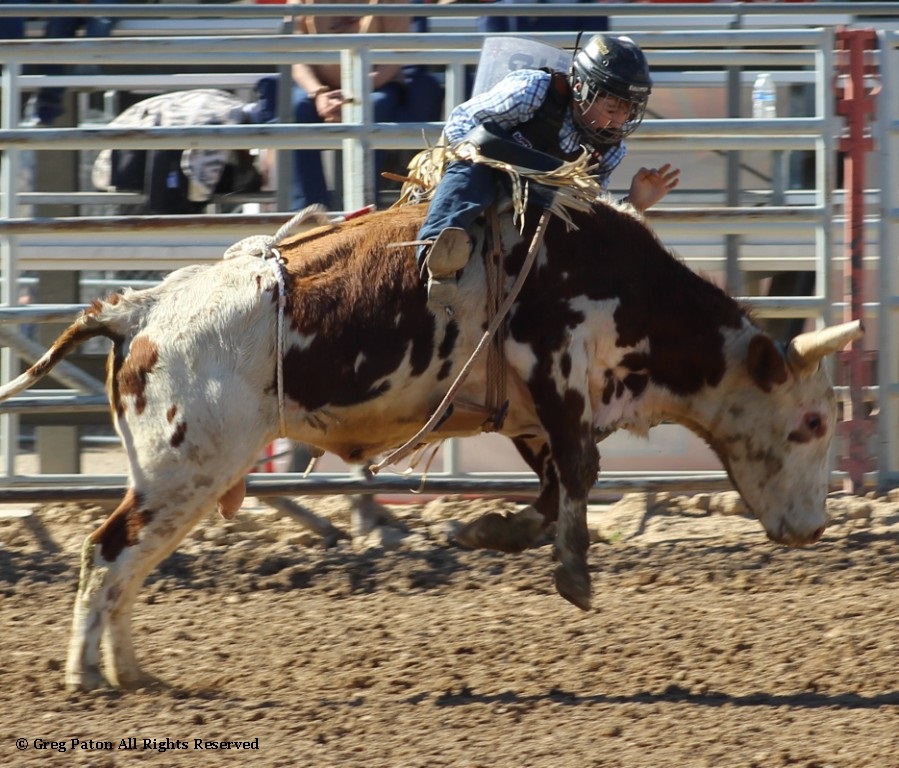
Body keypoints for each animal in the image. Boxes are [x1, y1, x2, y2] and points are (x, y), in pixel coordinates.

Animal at [0, 199, 861, 692]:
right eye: (811, 424)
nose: (813, 528)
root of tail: (138, 307)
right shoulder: (556, 366)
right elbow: (580, 470)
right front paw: (570, 573)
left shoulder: (527, 413)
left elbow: (553, 485)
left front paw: (485, 530)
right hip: (185, 468)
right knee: (109, 552)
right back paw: (87, 675)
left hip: (186, 476)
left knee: (128, 563)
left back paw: (132, 672)